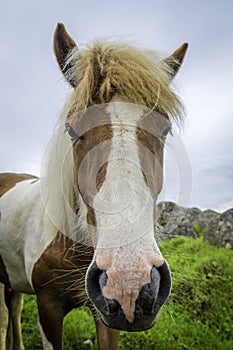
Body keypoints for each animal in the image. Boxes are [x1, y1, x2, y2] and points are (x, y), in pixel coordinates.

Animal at [0, 23, 187, 348]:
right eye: (73, 130)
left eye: (164, 130)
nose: (130, 282)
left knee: (13, 308)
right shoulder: (48, 309)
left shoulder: (106, 317)